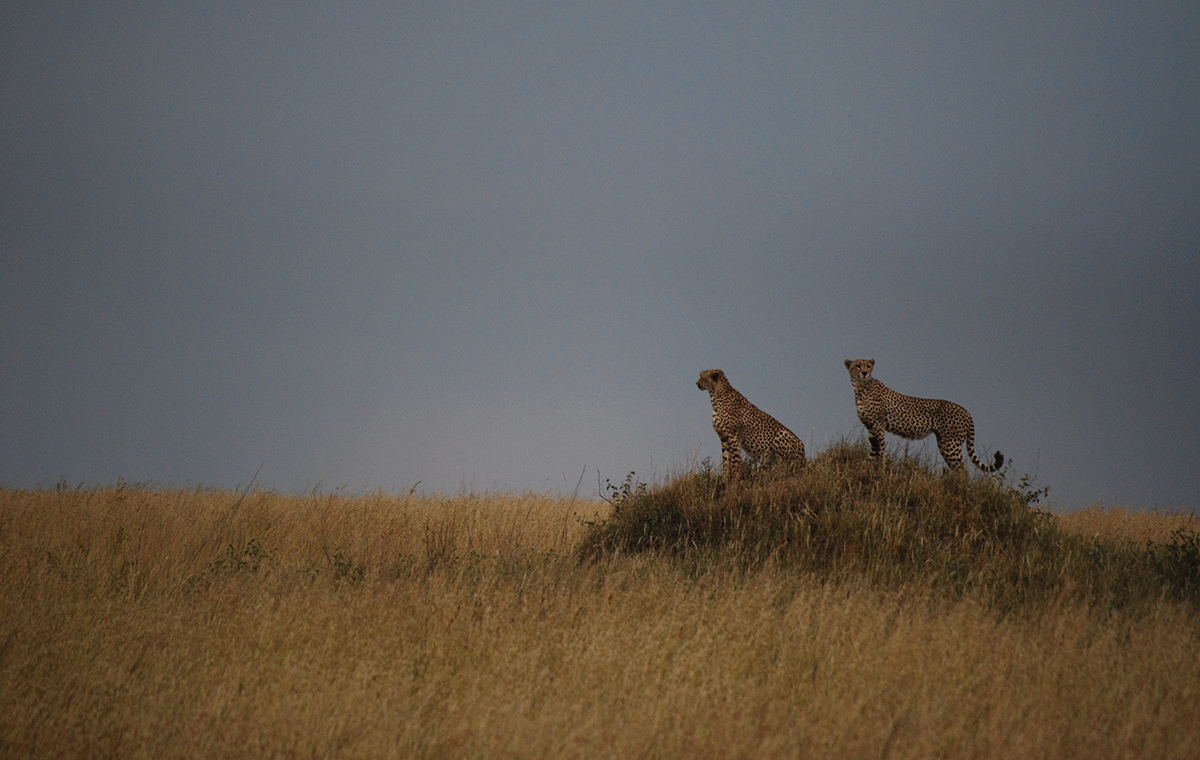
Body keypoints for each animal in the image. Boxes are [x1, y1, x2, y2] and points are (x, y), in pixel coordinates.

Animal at [844, 357, 1003, 470]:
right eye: (857, 365)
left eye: (868, 366)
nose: (865, 373)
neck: (860, 388)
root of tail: (965, 410)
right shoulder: (870, 427)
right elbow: (873, 449)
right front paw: (866, 464)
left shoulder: (878, 425)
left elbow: (880, 449)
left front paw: (880, 470)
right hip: (946, 443)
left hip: (950, 444)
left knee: (962, 470)